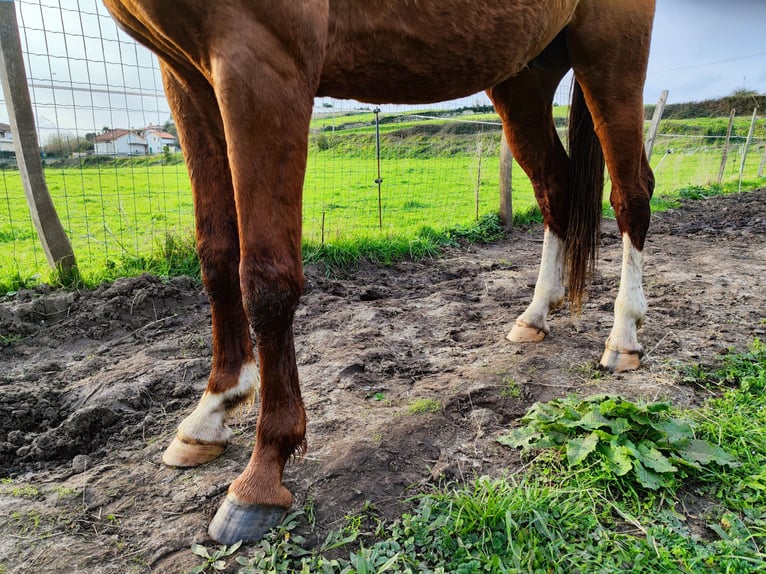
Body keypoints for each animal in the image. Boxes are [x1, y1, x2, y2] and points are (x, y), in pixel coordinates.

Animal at [100, 0, 656, 544]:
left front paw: (262, 474)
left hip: (608, 51)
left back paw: (624, 335)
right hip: (525, 75)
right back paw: (536, 314)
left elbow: (265, 277)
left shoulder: (259, 57)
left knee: (632, 192)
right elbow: (216, 257)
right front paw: (213, 409)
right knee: (555, 187)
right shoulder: (186, 77)